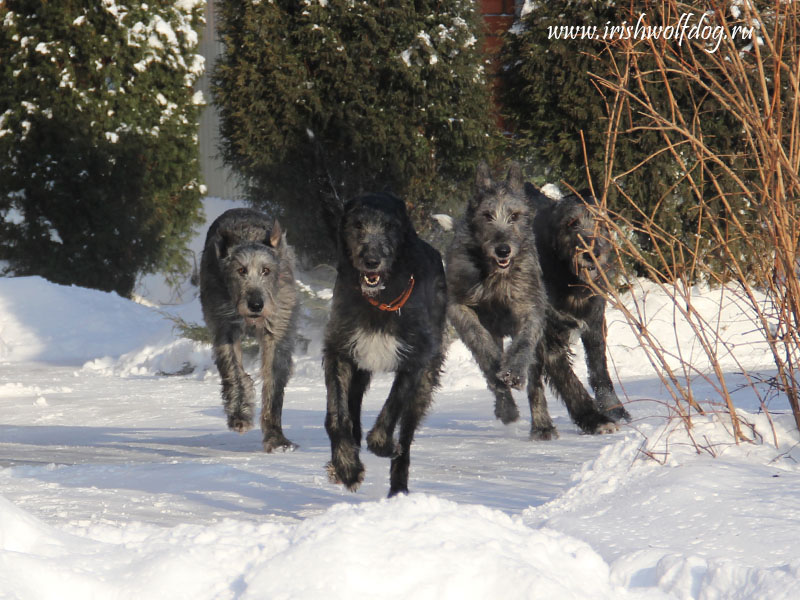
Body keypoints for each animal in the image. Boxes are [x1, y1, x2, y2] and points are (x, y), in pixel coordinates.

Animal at [200, 209, 300, 452]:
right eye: (240, 270)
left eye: (266, 270)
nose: (256, 305)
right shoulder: (224, 326)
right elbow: (234, 372)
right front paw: (239, 415)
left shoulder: (278, 328)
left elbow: (273, 381)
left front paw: (276, 438)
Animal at [324, 192, 450, 496]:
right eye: (357, 225)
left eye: (391, 226)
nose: (371, 260)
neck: (379, 299)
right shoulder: (340, 350)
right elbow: (337, 415)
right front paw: (347, 466)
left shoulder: (415, 359)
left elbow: (393, 406)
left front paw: (382, 445)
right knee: (352, 407)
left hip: (426, 381)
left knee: (407, 432)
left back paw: (398, 489)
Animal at [528, 188, 636, 426]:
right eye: (571, 223)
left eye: (600, 222)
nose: (592, 253)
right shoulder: (549, 337)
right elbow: (568, 380)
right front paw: (594, 420)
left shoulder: (594, 323)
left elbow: (599, 371)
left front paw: (615, 409)